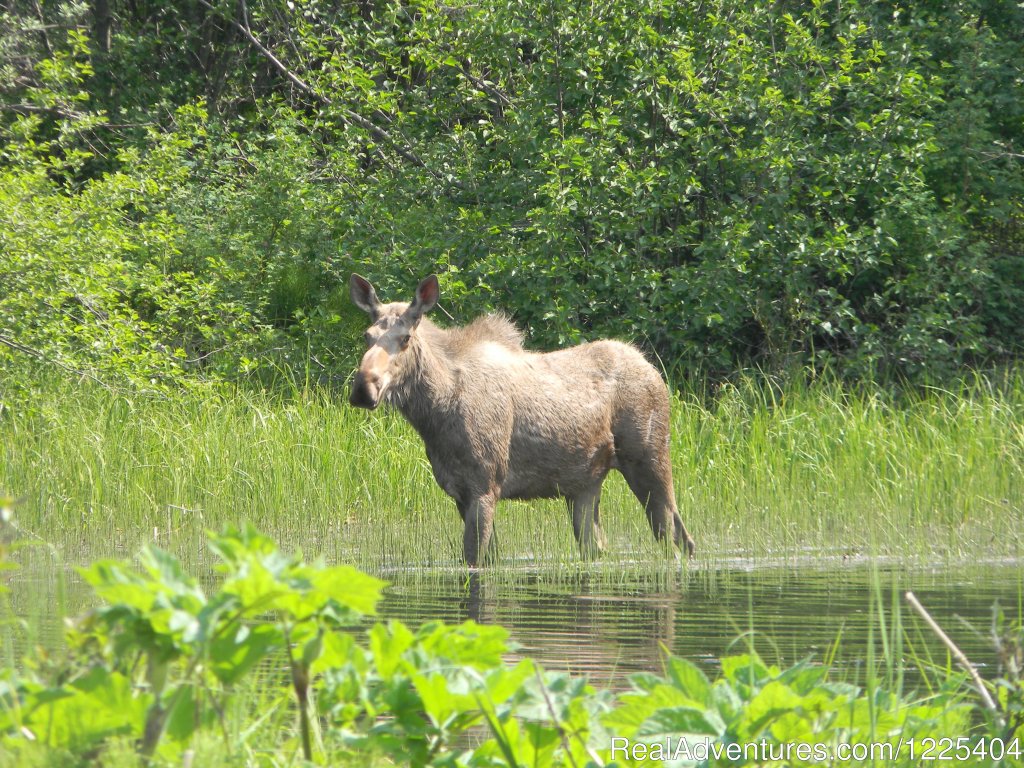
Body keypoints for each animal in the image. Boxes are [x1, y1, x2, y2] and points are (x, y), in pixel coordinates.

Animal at [350, 274, 696, 565]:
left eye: (406, 337)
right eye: (367, 336)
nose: (364, 388)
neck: (434, 414)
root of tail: (653, 369)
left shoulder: (484, 486)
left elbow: (474, 559)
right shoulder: (460, 492)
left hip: (649, 459)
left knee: (672, 537)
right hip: (586, 484)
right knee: (605, 546)